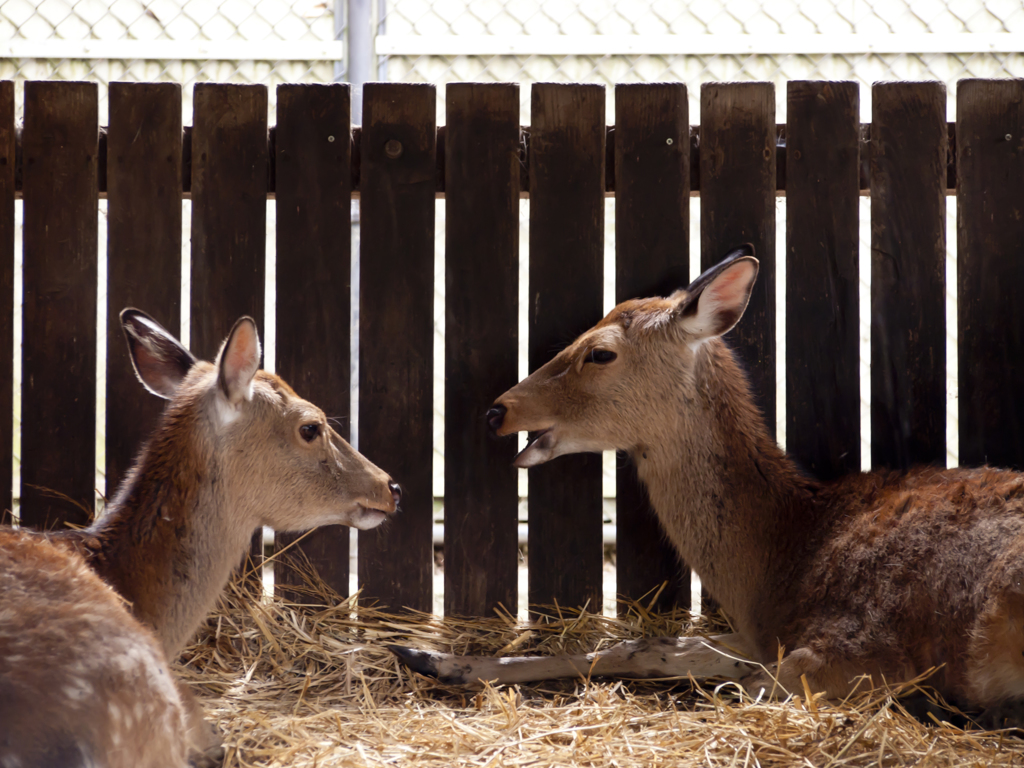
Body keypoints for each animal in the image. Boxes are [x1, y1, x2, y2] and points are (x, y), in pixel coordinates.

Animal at [389, 244, 1024, 729]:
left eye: (600, 352)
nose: (498, 411)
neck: (783, 558)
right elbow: (649, 646)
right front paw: (428, 655)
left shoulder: (858, 651)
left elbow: (748, 683)